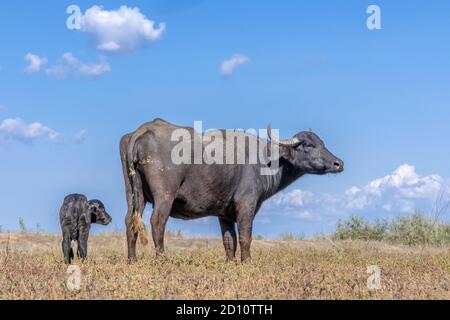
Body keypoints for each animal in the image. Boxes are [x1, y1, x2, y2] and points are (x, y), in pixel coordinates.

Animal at [120, 119, 344, 262]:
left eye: (322, 143)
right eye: (307, 145)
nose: (338, 163)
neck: (266, 160)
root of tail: (143, 129)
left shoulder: (224, 214)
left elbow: (229, 241)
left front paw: (231, 263)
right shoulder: (246, 205)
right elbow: (245, 237)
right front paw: (247, 262)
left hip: (134, 195)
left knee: (130, 221)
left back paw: (132, 260)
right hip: (164, 196)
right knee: (157, 222)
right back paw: (162, 260)